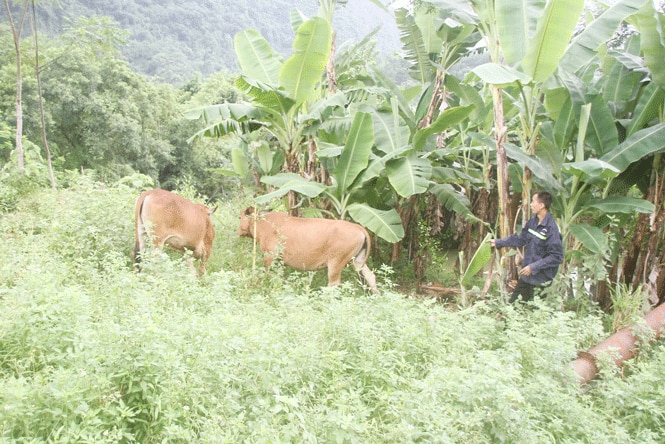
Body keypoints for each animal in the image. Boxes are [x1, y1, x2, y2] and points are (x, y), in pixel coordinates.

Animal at [239, 207, 376, 292]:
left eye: (239, 217)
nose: (238, 231)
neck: (262, 222)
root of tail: (359, 228)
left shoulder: (270, 257)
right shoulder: (280, 261)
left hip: (335, 264)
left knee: (334, 284)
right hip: (357, 262)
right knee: (370, 277)